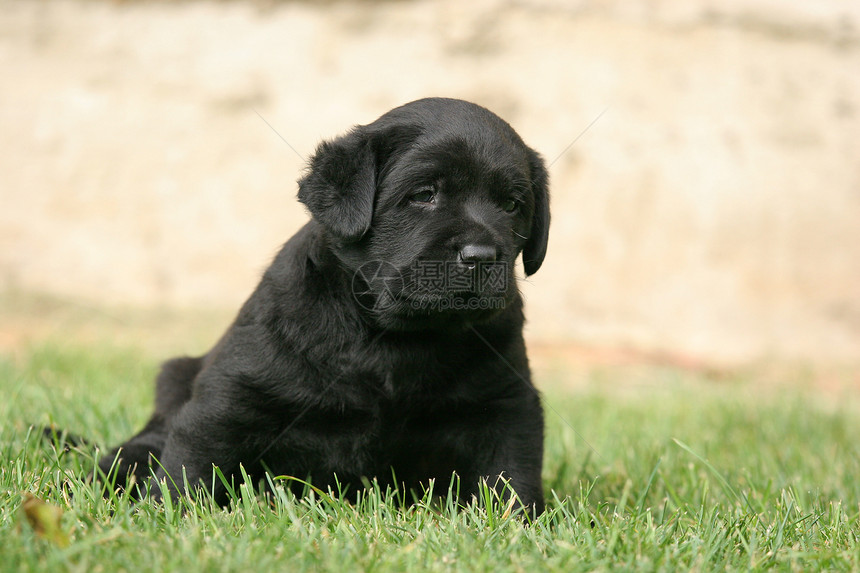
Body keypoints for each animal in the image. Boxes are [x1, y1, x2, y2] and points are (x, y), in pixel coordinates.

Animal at [95, 97, 552, 512]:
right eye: (424, 194)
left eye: (512, 205)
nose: (482, 255)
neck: (394, 338)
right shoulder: (235, 391)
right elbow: (194, 459)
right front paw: (168, 511)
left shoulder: (508, 402)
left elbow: (511, 475)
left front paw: (518, 525)